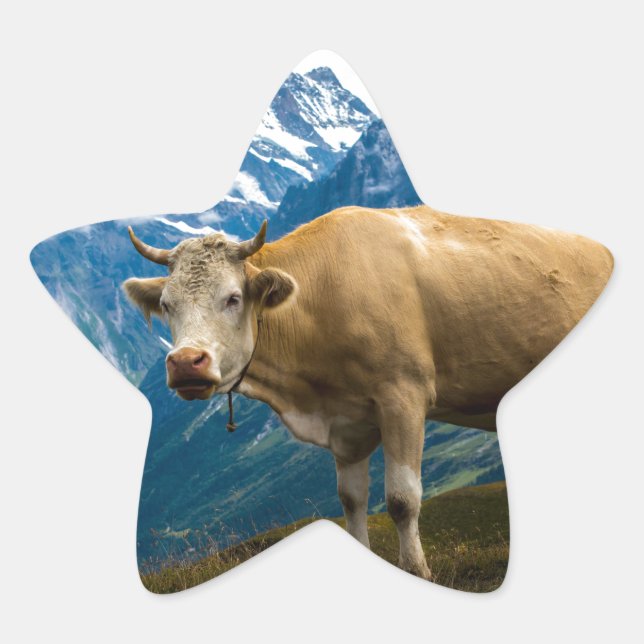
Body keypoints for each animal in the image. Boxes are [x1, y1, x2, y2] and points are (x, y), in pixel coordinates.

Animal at [123, 205, 613, 580]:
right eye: (166, 305)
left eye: (232, 298)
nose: (185, 362)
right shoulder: (347, 423)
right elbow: (352, 500)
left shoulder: (404, 396)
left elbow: (401, 499)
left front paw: (417, 571)